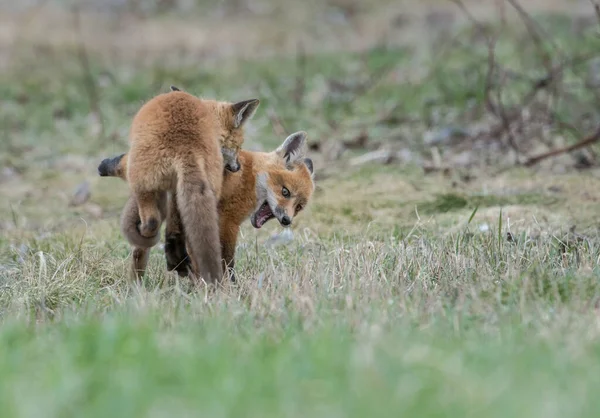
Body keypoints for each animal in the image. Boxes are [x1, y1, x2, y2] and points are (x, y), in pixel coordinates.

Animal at [98, 131, 314, 280]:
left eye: (299, 207)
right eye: (285, 191)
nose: (286, 220)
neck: (251, 176)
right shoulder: (228, 222)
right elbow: (226, 260)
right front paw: (227, 286)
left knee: (140, 249)